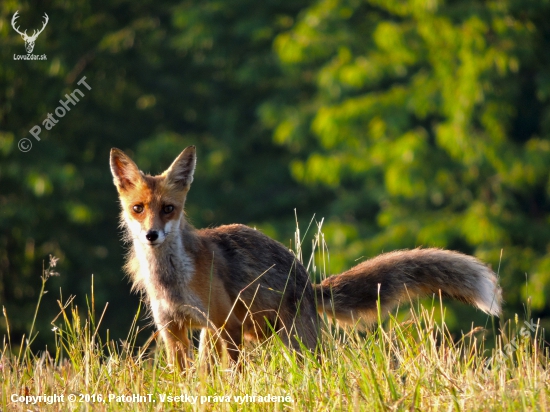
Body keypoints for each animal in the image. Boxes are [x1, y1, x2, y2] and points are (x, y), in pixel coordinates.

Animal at [110, 146, 502, 368]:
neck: (173, 282)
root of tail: (308, 282)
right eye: (138, 208)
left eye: (168, 209)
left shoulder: (226, 324)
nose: (151, 235)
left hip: (290, 341)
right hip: (220, 336)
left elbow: (234, 375)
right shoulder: (172, 329)